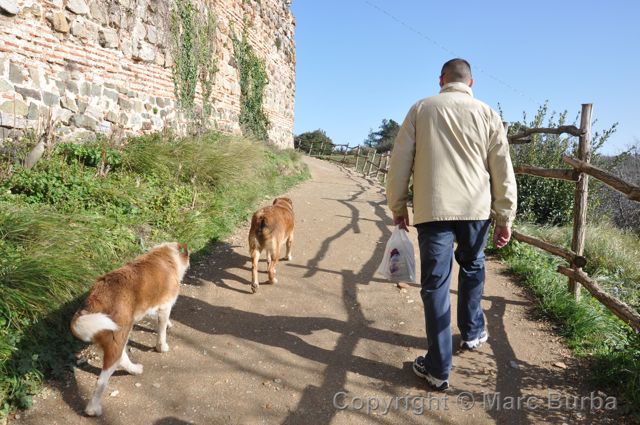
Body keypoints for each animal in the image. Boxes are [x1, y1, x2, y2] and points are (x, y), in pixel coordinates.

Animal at [71, 242, 190, 414]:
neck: (165, 255)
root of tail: (94, 300)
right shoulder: (165, 306)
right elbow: (161, 332)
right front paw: (162, 346)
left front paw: (168, 324)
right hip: (119, 335)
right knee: (102, 379)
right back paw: (93, 409)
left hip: (117, 335)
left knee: (121, 358)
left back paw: (134, 369)